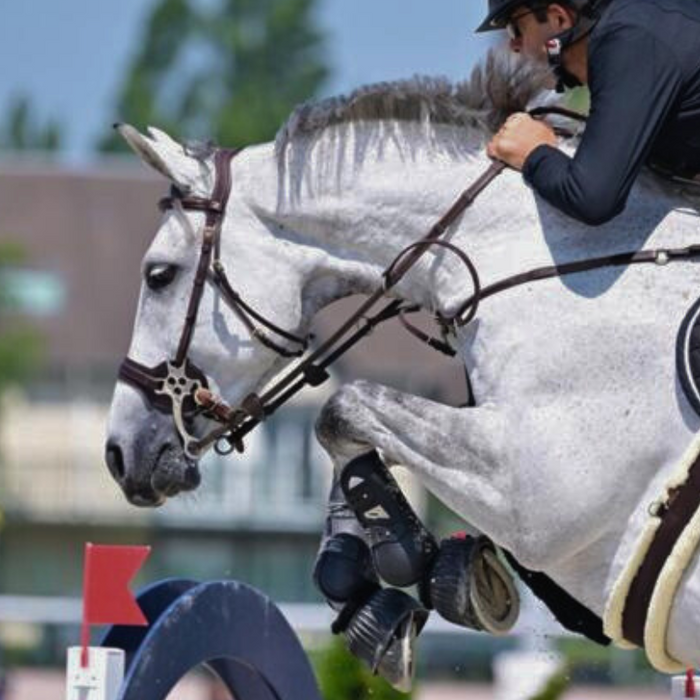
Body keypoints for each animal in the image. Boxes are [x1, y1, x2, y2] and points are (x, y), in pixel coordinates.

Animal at [105, 49, 700, 689]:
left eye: (159, 274)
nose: (119, 454)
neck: (555, 264)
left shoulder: (537, 489)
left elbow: (342, 408)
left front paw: (403, 563)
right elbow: (353, 438)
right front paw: (378, 593)